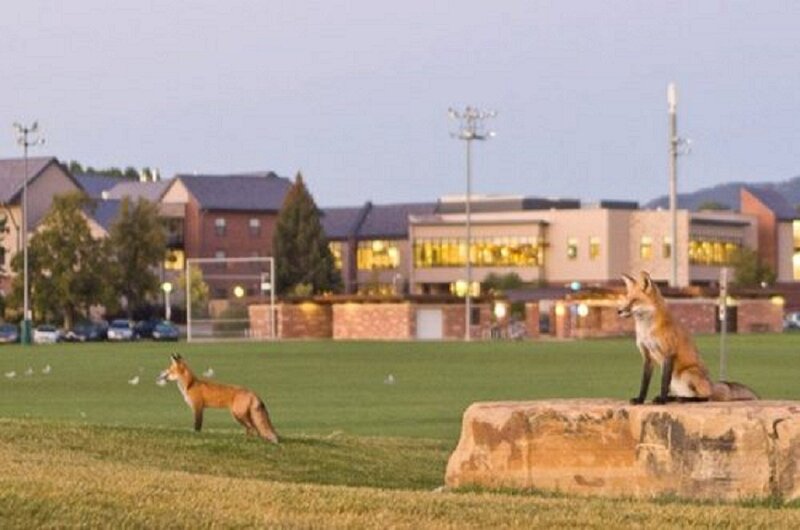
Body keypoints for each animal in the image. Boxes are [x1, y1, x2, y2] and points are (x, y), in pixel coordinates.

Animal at [617, 271, 758, 404]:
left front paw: (662, 400)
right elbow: (644, 383)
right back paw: (674, 398)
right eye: (627, 299)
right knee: (681, 394)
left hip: (687, 373)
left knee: (705, 398)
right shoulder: (647, 357)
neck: (647, 330)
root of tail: (712, 385)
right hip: (675, 382)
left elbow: (663, 382)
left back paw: (682, 399)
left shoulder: (668, 352)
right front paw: (640, 400)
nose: (618, 311)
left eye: (634, 300)